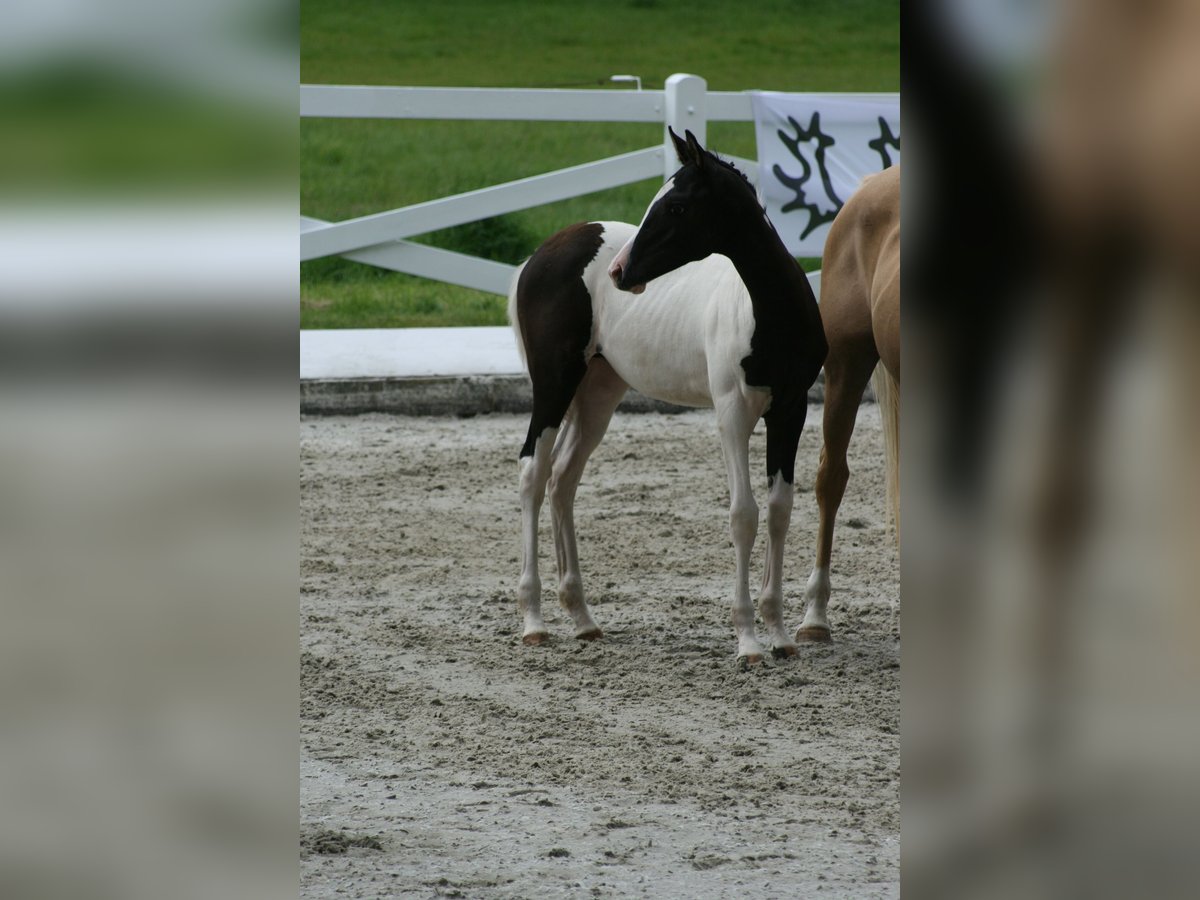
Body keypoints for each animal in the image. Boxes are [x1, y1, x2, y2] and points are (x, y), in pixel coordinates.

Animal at [506, 128, 825, 662]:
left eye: (675, 206)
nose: (618, 271)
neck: (769, 314)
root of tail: (541, 254)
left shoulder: (790, 410)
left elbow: (779, 511)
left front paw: (780, 635)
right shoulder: (732, 412)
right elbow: (744, 514)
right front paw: (747, 642)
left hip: (599, 392)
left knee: (563, 478)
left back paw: (583, 618)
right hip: (554, 383)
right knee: (533, 470)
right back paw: (534, 621)